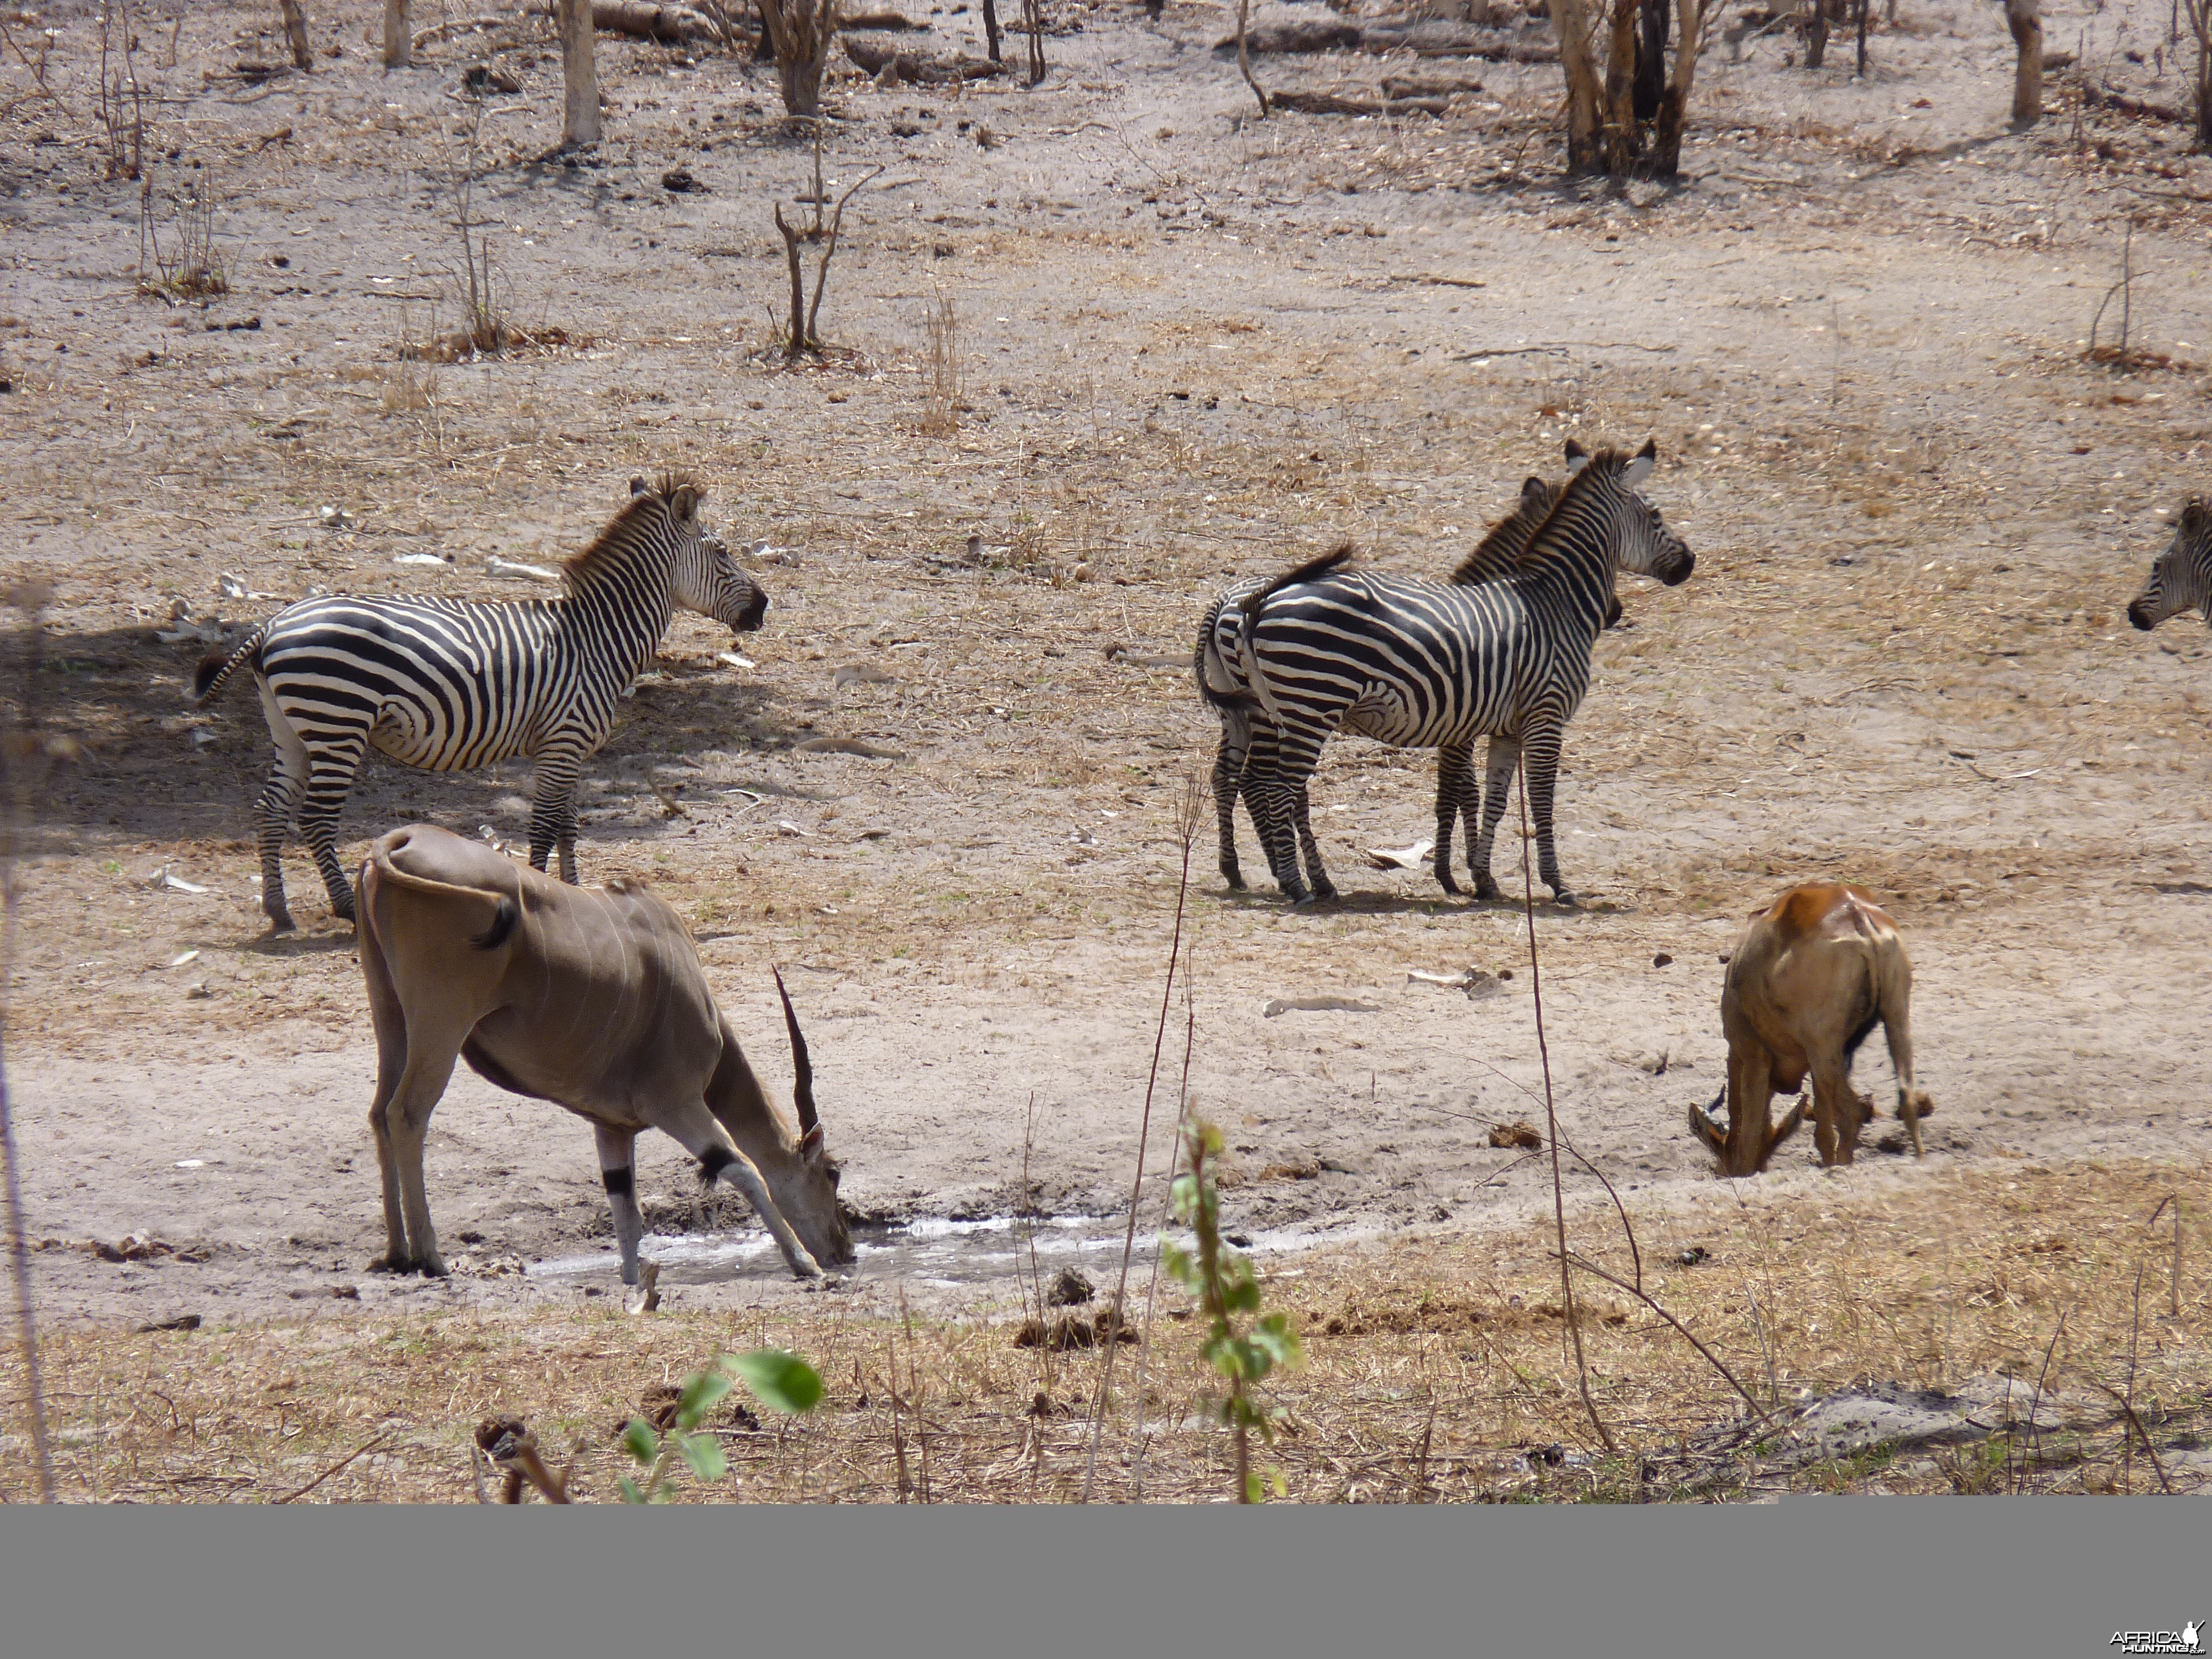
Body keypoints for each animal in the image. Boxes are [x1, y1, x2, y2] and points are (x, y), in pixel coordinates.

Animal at [199, 473, 770, 938]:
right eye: (722, 552)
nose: (764, 606)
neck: (596, 639)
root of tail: (273, 625)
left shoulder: (568, 748)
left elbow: (568, 825)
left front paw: (575, 892)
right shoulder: (563, 740)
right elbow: (544, 825)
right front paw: (543, 897)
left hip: (293, 729)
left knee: (271, 809)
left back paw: (278, 910)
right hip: (339, 721)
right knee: (316, 816)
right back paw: (344, 909)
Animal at [358, 832, 849, 1283]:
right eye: (831, 1173)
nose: (843, 1249)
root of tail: (399, 841)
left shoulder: (612, 1127)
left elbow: (625, 1208)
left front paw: (632, 1283)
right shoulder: (676, 1103)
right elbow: (743, 1169)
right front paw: (803, 1263)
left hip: (391, 1015)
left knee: (380, 1112)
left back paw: (397, 1253)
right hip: (441, 1021)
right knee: (407, 1112)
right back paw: (429, 1256)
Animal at [1203, 442, 1681, 911]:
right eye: (1657, 517)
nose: (1690, 562)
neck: (1555, 603)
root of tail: (1254, 600)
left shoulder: (1497, 725)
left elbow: (1492, 798)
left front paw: (1481, 877)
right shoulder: (1540, 716)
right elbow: (1527, 799)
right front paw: (1549, 883)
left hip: (1262, 709)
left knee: (1244, 779)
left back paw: (1260, 874)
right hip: (1309, 704)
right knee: (1278, 788)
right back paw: (1297, 884)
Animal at [1690, 885, 1938, 1186]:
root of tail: (1855, 912)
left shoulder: (1753, 1054)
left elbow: (1749, 1136)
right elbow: (1823, 1127)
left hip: (1823, 1047)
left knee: (1851, 1114)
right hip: (1894, 1019)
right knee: (1906, 1099)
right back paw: (1918, 1160)